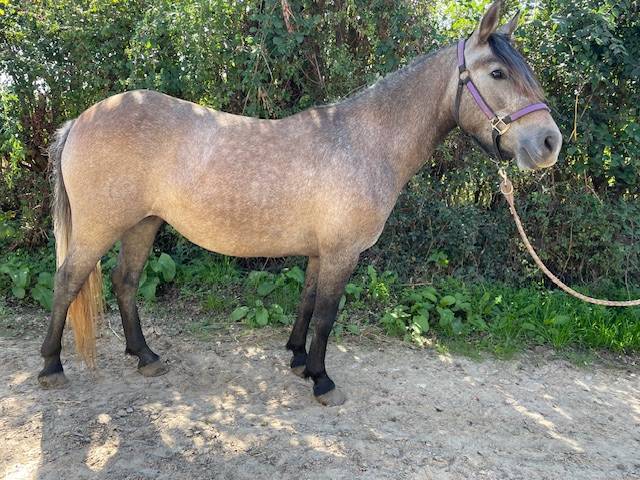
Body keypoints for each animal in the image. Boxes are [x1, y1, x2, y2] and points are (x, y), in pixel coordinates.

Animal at [39, 0, 561, 406]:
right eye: (497, 72)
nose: (549, 143)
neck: (365, 141)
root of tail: (80, 120)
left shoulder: (319, 252)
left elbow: (307, 304)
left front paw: (298, 359)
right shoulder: (342, 253)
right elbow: (327, 315)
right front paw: (322, 380)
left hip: (143, 223)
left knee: (126, 283)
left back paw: (145, 357)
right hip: (101, 227)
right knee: (66, 281)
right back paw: (51, 368)